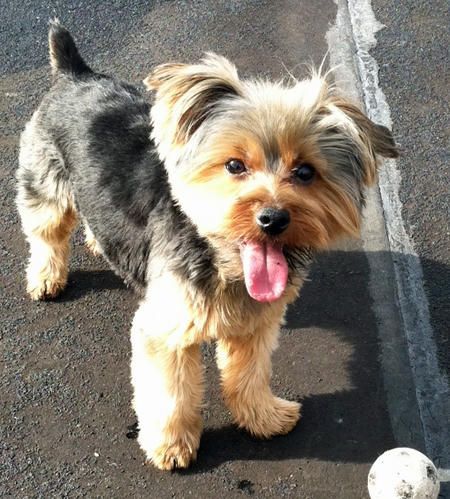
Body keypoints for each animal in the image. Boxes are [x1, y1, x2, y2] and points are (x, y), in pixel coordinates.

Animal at [17, 21, 398, 470]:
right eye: (234, 165)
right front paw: (171, 445)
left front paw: (263, 416)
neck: (222, 258)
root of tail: (75, 73)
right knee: (47, 231)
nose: (273, 219)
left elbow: (249, 373)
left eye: (305, 172)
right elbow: (170, 393)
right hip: (44, 179)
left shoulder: (256, 322)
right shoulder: (165, 330)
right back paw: (46, 277)